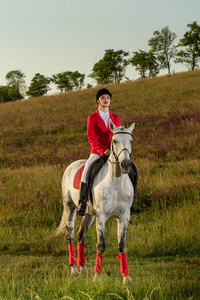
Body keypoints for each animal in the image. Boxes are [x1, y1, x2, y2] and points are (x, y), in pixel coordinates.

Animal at [56, 119, 136, 284]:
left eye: (131, 141)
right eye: (114, 141)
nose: (125, 165)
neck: (116, 181)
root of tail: (72, 165)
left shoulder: (124, 216)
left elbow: (122, 245)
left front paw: (126, 277)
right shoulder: (102, 216)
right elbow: (100, 245)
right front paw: (97, 276)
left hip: (89, 214)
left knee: (81, 234)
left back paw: (83, 268)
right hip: (70, 207)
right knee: (70, 234)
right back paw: (74, 269)